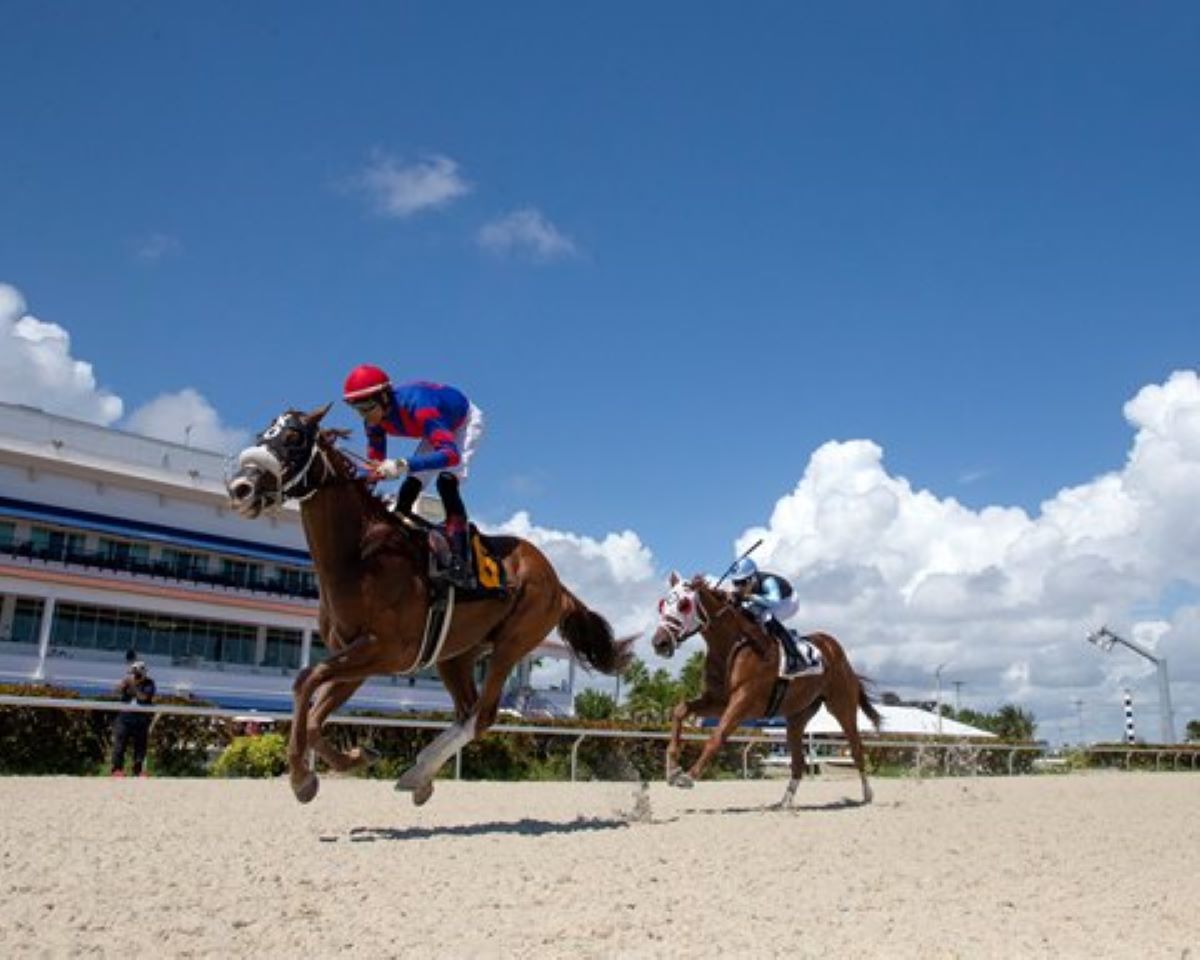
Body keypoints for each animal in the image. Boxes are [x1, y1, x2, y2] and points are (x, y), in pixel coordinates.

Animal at [228, 405, 633, 801]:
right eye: (262, 434)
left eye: (293, 437)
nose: (240, 488)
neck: (362, 554)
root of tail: (558, 583)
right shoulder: (356, 657)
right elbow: (313, 712)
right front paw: (352, 758)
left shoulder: (385, 650)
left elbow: (305, 680)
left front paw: (301, 776)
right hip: (457, 655)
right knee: (466, 710)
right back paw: (421, 774)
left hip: (513, 643)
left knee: (482, 716)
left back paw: (418, 771)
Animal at [657, 573, 883, 806]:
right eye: (662, 605)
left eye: (684, 605)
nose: (659, 642)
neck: (732, 644)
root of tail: (834, 649)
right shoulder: (718, 700)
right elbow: (680, 710)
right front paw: (672, 767)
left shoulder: (743, 701)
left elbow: (717, 736)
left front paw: (688, 776)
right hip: (798, 715)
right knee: (798, 761)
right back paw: (785, 801)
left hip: (842, 705)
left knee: (856, 748)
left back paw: (867, 795)